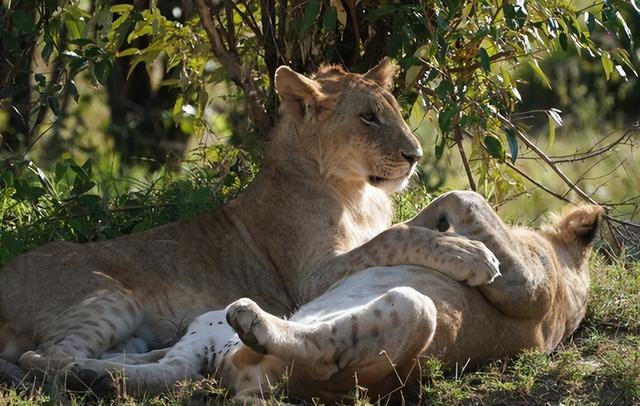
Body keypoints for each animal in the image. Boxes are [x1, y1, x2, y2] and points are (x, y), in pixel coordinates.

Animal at [74, 192, 600, 402]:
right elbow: (431, 212)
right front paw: (446, 234)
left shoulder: (525, 289)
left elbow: (467, 195)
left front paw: (469, 252)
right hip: (205, 324)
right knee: (170, 368)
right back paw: (91, 375)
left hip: (414, 310)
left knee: (319, 347)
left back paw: (257, 321)